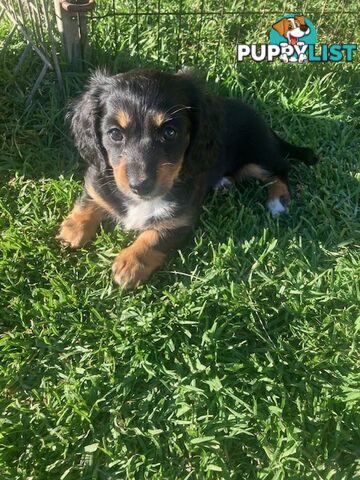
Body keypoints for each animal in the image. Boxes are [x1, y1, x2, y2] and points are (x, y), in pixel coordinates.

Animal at [57, 68, 318, 288]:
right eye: (114, 134)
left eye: (170, 132)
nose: (140, 187)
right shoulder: (99, 178)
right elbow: (92, 196)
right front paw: (73, 228)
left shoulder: (181, 219)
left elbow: (154, 236)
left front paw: (130, 263)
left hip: (258, 157)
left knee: (280, 169)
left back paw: (277, 201)